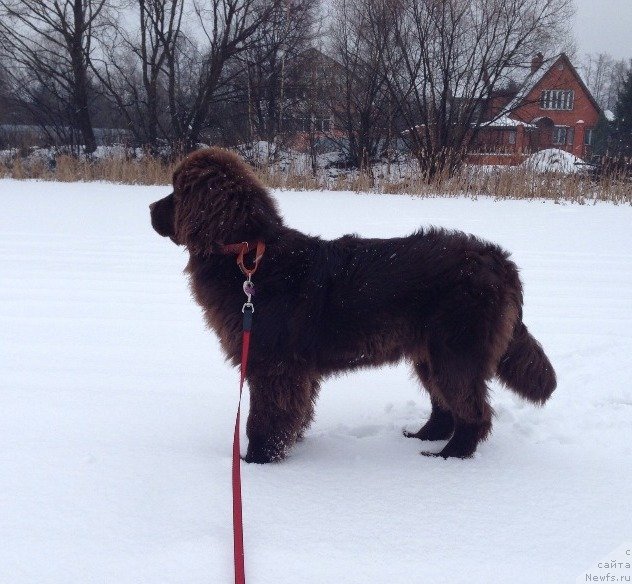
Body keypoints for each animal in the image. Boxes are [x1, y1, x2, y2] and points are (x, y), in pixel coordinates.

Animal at [151, 148, 556, 464]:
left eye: (176, 191)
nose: (150, 207)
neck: (250, 256)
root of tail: (499, 260)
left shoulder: (273, 363)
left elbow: (264, 417)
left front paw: (258, 461)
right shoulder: (293, 370)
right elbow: (294, 412)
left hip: (456, 349)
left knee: (473, 411)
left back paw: (448, 457)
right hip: (430, 351)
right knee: (444, 405)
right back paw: (424, 437)